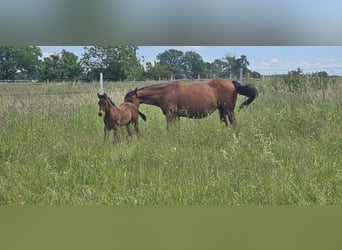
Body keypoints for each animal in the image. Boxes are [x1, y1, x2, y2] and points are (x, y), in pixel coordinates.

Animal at [124, 77, 258, 127]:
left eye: (129, 100)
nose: (126, 112)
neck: (164, 92)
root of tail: (231, 82)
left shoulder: (170, 115)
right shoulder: (176, 116)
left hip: (229, 110)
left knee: (234, 123)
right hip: (222, 111)